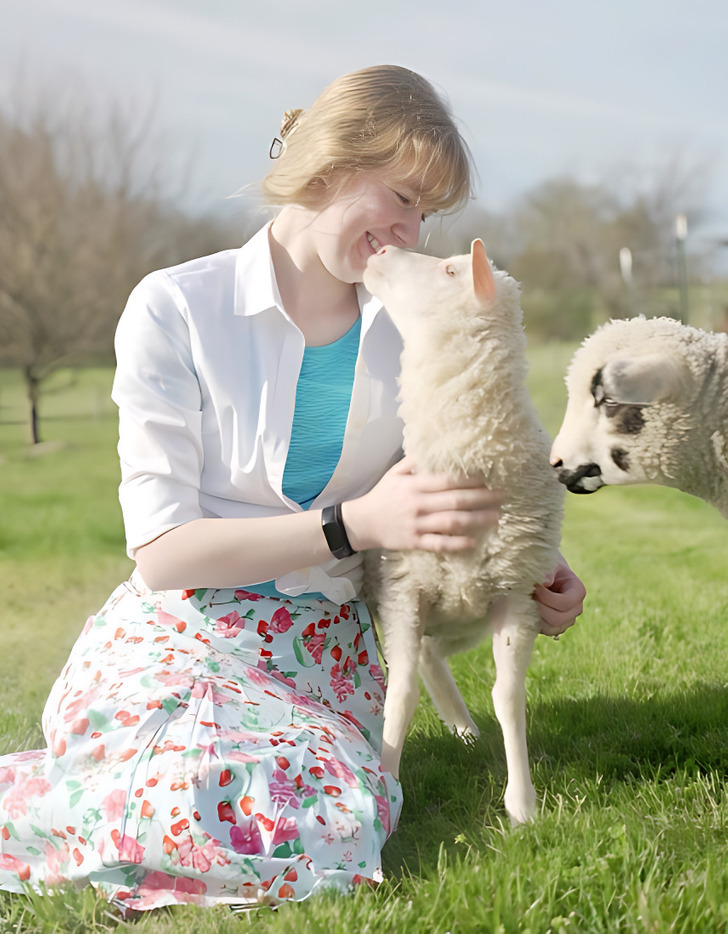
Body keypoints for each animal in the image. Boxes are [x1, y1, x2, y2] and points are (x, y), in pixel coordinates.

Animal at [362, 239, 564, 828]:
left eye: (450, 270)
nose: (383, 247)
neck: (478, 445)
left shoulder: (516, 596)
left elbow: (508, 697)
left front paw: (522, 804)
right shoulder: (403, 592)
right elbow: (400, 697)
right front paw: (387, 787)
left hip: (463, 612)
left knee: (433, 657)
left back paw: (465, 729)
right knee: (423, 662)